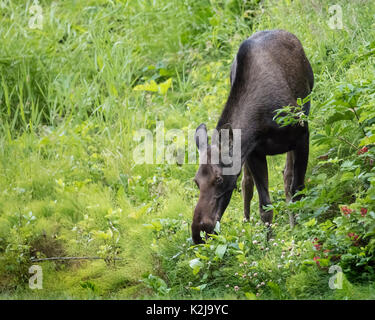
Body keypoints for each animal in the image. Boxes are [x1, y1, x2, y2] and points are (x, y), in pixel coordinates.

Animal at [192, 30, 312, 245]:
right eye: (196, 182)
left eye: (219, 179)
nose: (198, 232)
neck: (261, 121)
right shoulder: (254, 152)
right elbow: (265, 206)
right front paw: (268, 244)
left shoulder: (302, 136)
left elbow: (297, 189)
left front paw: (300, 231)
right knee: (247, 184)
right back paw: (247, 222)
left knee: (287, 177)